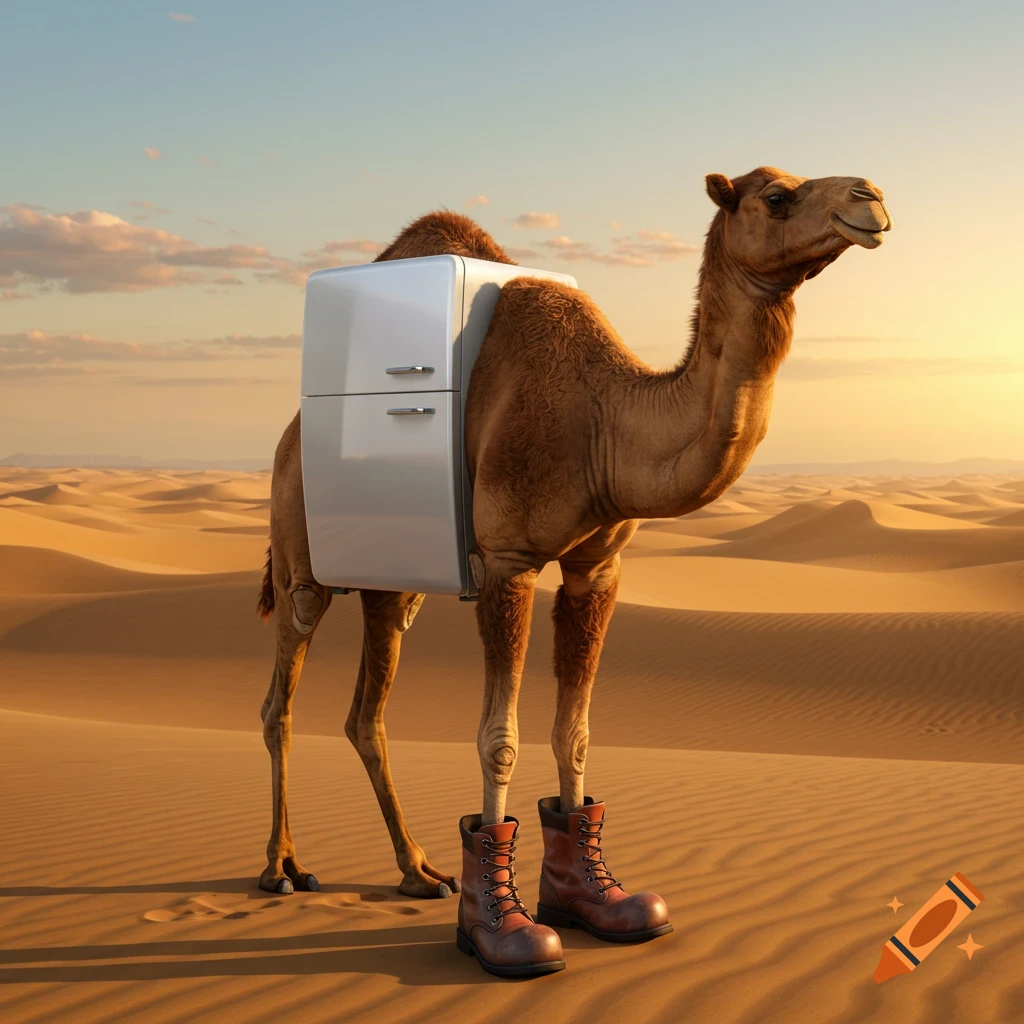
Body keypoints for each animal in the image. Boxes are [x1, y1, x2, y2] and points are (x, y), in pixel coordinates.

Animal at [257, 166, 891, 976]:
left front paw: (595, 897)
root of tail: (286, 438)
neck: (604, 421)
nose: (870, 198)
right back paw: (281, 867)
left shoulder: (598, 566)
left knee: (367, 712)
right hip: (301, 555)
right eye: (776, 196)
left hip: (391, 583)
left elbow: (576, 731)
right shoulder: (509, 561)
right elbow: (499, 737)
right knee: (282, 697)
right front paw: (502, 928)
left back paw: (418, 871)